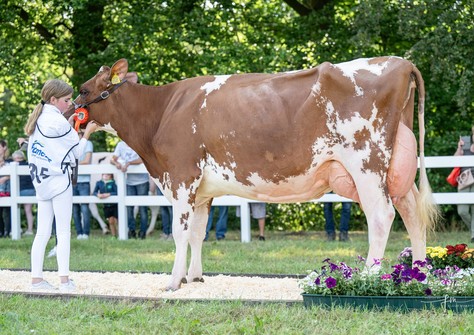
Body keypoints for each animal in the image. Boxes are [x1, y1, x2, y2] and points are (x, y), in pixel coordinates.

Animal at [73, 56, 440, 290]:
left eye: (83, 89)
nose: (70, 114)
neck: (160, 111)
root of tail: (399, 61)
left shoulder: (180, 177)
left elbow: (180, 233)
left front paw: (174, 282)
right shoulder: (202, 191)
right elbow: (198, 233)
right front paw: (195, 277)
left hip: (366, 163)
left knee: (381, 216)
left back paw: (368, 277)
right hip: (396, 167)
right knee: (412, 213)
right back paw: (420, 275)